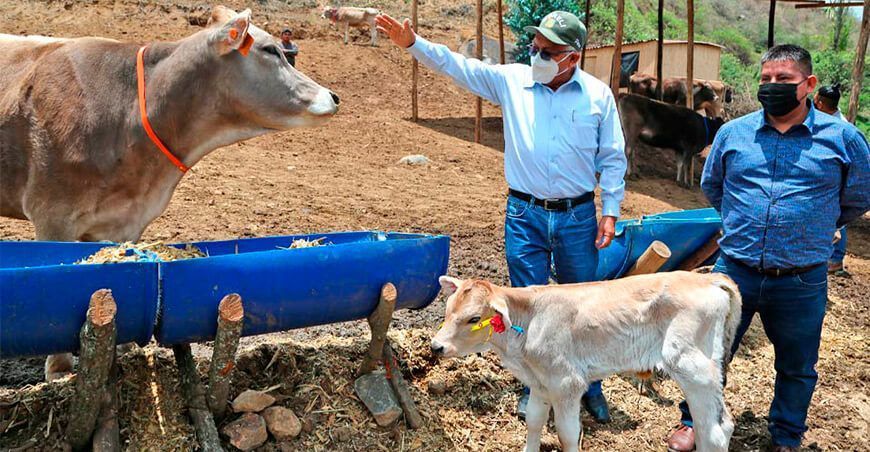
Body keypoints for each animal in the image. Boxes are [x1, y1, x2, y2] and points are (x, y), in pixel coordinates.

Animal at [431, 272, 741, 452]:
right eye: (447, 310)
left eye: (474, 318)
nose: (436, 346)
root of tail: (707, 278)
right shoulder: (541, 384)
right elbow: (534, 422)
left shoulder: (566, 384)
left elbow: (567, 434)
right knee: (719, 425)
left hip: (691, 367)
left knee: (713, 431)